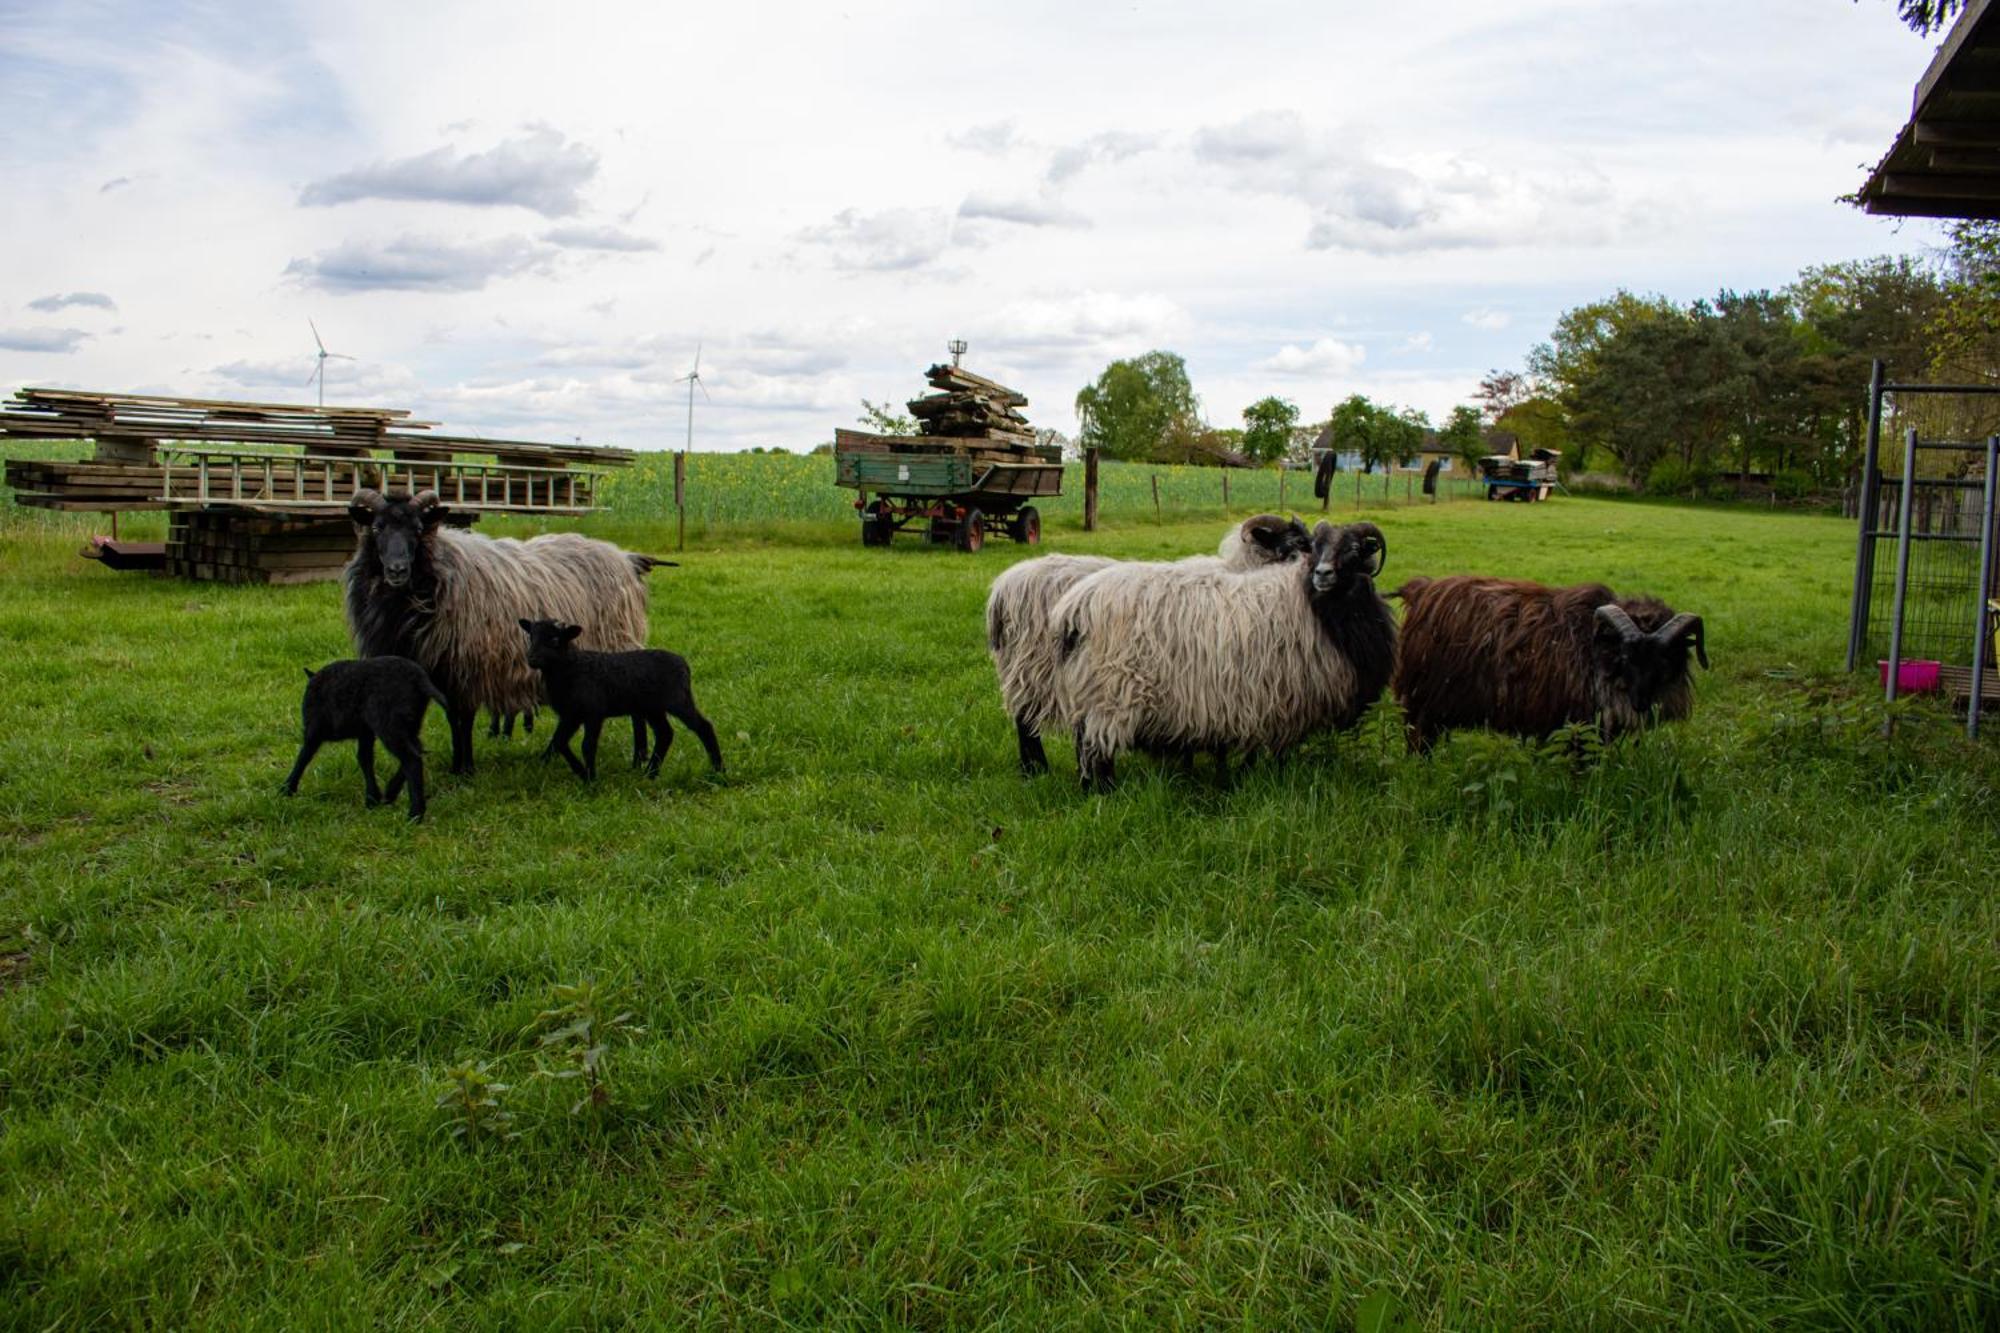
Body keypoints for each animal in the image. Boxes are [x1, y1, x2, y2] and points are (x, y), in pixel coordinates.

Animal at [282, 652, 446, 820]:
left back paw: (415, 814)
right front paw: (372, 798)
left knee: (411, 758)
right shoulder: (365, 732)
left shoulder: (314, 729)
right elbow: (364, 758)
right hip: (410, 723)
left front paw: (287, 789)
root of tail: (419, 679)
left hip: (388, 722)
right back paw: (391, 793)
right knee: (417, 750)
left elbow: (303, 757)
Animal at [524, 616, 728, 780]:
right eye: (531, 637)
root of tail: (684, 663)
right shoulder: (570, 715)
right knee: (665, 733)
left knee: (703, 727)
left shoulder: (593, 712)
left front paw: (591, 779)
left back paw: (719, 770)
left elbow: (587, 745)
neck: (572, 667)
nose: (531, 659)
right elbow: (559, 742)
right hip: (652, 708)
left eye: (554, 639)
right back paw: (650, 773)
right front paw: (578, 771)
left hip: (678, 700)